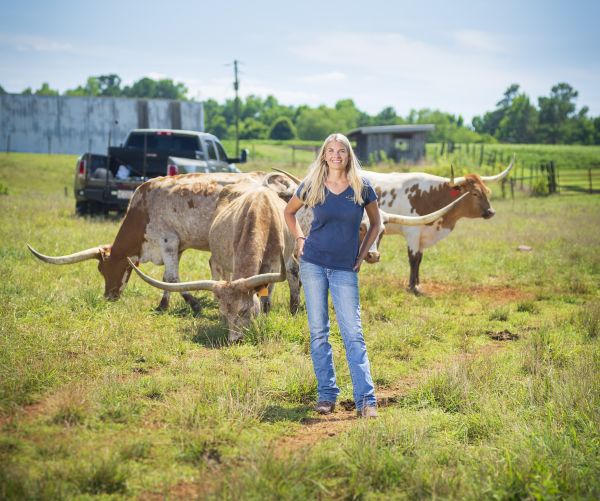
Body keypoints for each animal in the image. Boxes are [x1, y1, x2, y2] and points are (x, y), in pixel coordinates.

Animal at [27, 172, 296, 312]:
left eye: (106, 268)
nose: (109, 296)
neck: (143, 209)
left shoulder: (167, 241)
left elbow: (173, 278)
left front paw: (193, 304)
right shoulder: (177, 247)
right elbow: (167, 278)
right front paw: (164, 305)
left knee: (290, 271)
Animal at [364, 160, 512, 292]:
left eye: (487, 191)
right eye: (475, 193)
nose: (491, 212)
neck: (432, 195)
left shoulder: (423, 236)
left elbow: (419, 259)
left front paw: (418, 283)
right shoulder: (413, 233)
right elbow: (413, 259)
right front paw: (412, 286)